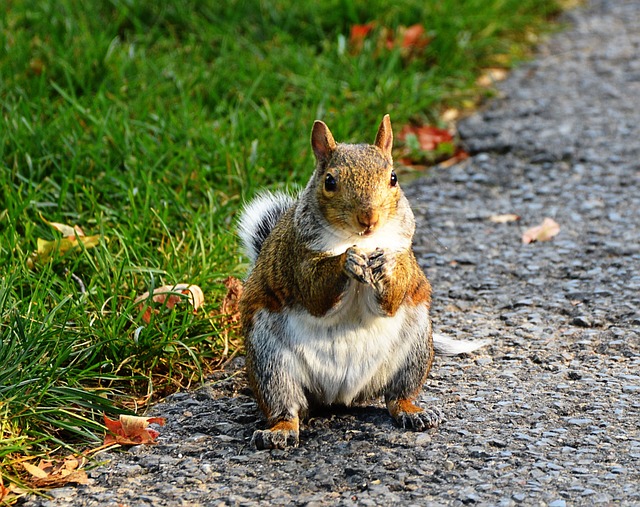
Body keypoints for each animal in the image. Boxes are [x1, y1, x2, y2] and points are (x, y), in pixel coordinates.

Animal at [238, 116, 488, 452]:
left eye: (393, 178)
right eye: (330, 182)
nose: (368, 218)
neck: (361, 240)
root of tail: (339, 396)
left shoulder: (404, 253)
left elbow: (391, 298)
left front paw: (386, 266)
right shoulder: (297, 260)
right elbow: (314, 292)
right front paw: (347, 260)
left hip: (415, 348)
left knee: (397, 396)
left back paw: (413, 411)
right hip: (269, 360)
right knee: (285, 405)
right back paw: (279, 430)